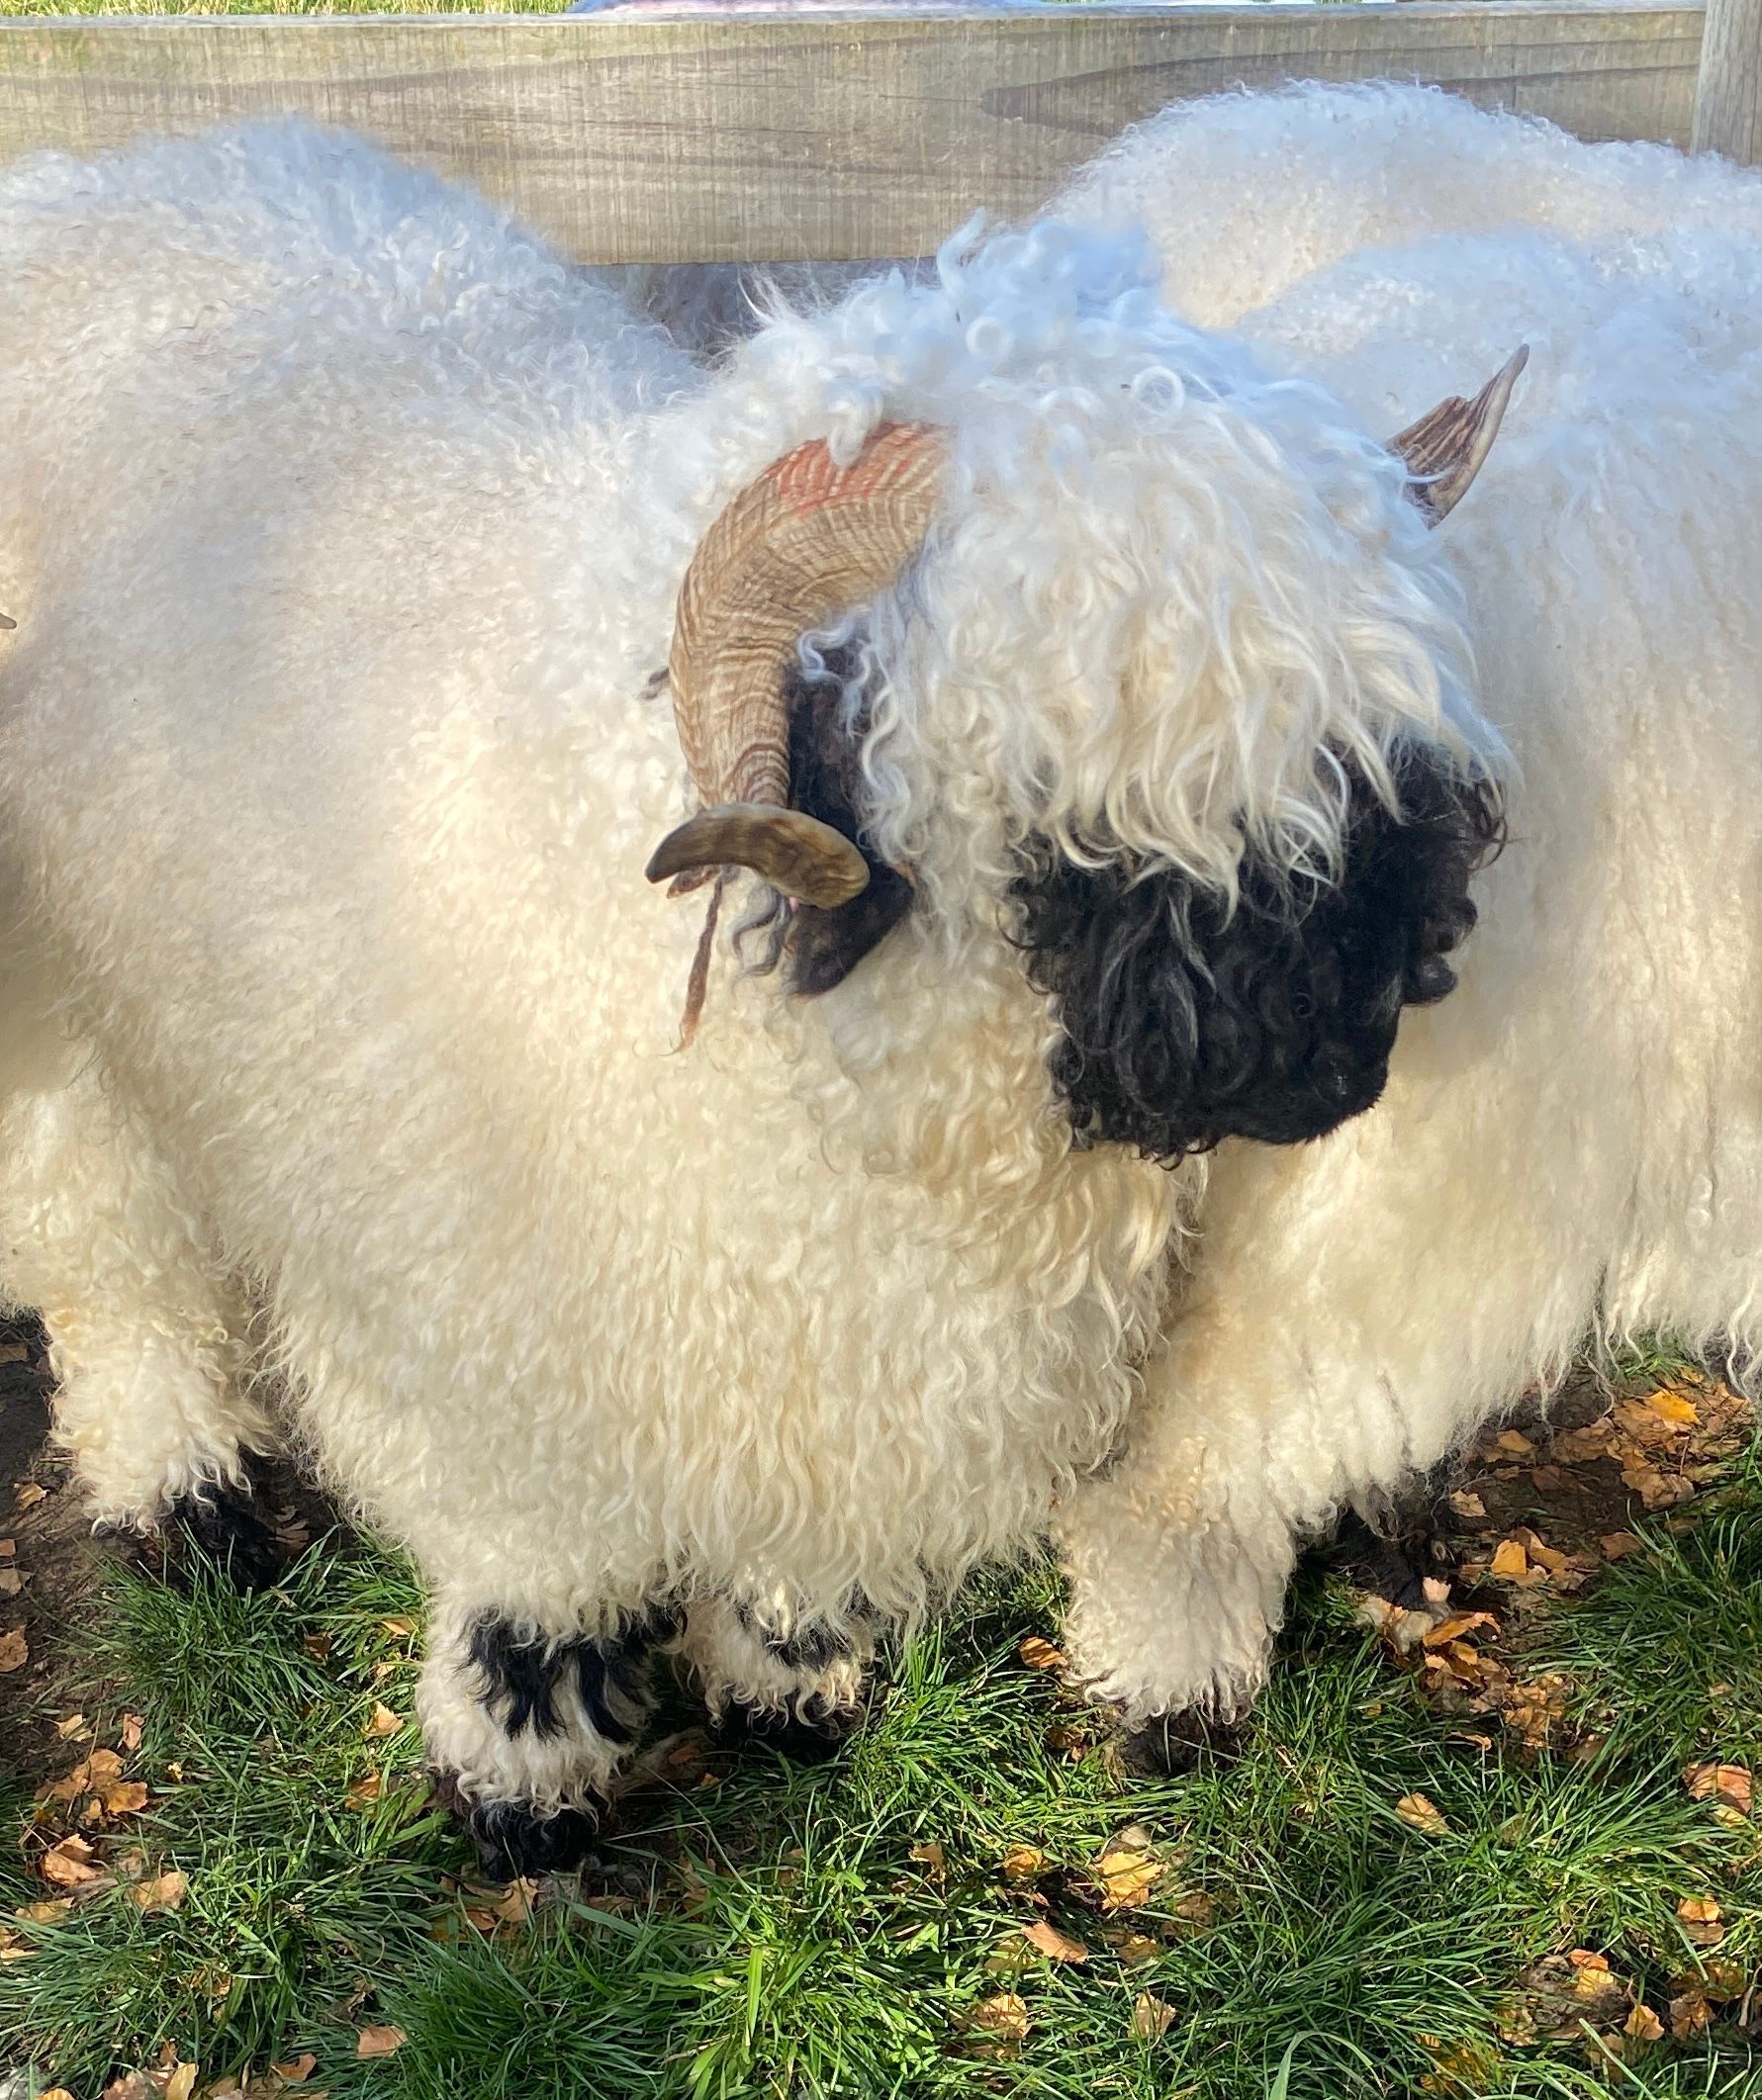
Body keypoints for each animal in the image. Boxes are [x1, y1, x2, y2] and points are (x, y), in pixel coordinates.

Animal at [0, 115, 1512, 1865]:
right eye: (1055, 725)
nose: (1327, 1056)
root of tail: (114, 167)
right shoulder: (490, 1351)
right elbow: (536, 1580)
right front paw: (521, 1783)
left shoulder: (829, 1362)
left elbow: (799, 1556)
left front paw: (791, 1682)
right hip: (61, 1000)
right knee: (111, 1250)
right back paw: (183, 1492)